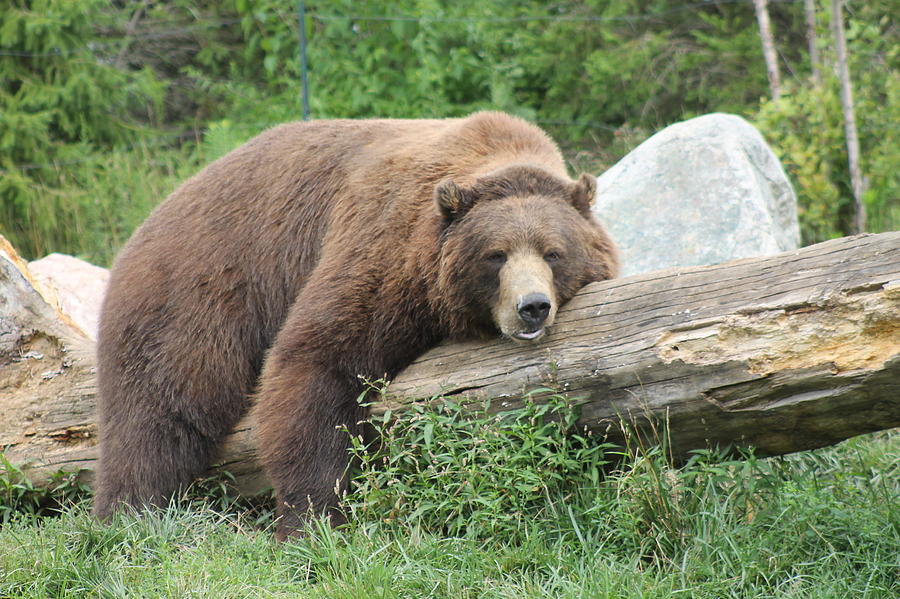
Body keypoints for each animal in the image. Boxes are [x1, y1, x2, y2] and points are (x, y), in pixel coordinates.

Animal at [93, 111, 620, 540]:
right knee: (162, 407)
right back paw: (128, 511)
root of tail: (153, 215)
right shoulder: (384, 249)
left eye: (553, 253)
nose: (532, 307)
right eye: (496, 255)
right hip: (201, 290)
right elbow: (321, 362)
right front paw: (312, 522)